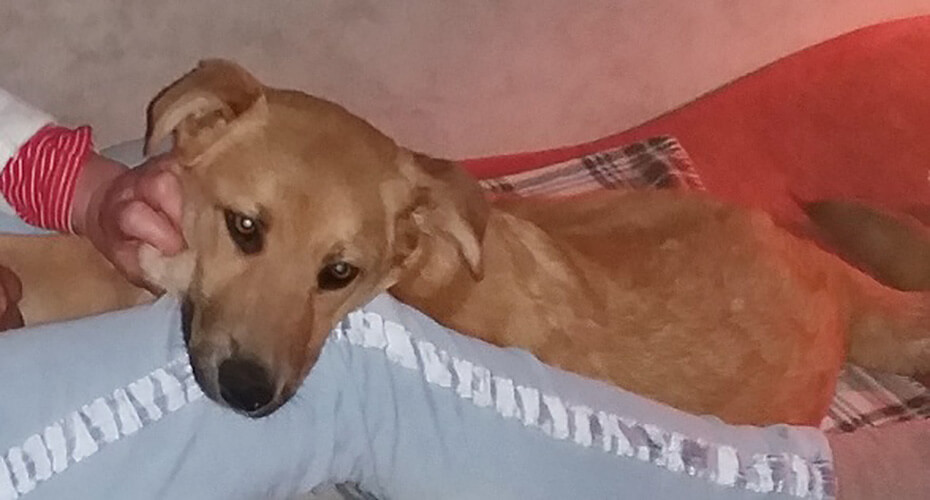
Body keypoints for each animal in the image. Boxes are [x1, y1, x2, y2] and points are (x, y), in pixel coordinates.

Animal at [1, 60, 928, 425]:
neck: (423, 269)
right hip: (595, 210)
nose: (249, 395)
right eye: (246, 227)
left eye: (340, 273)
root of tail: (836, 285)